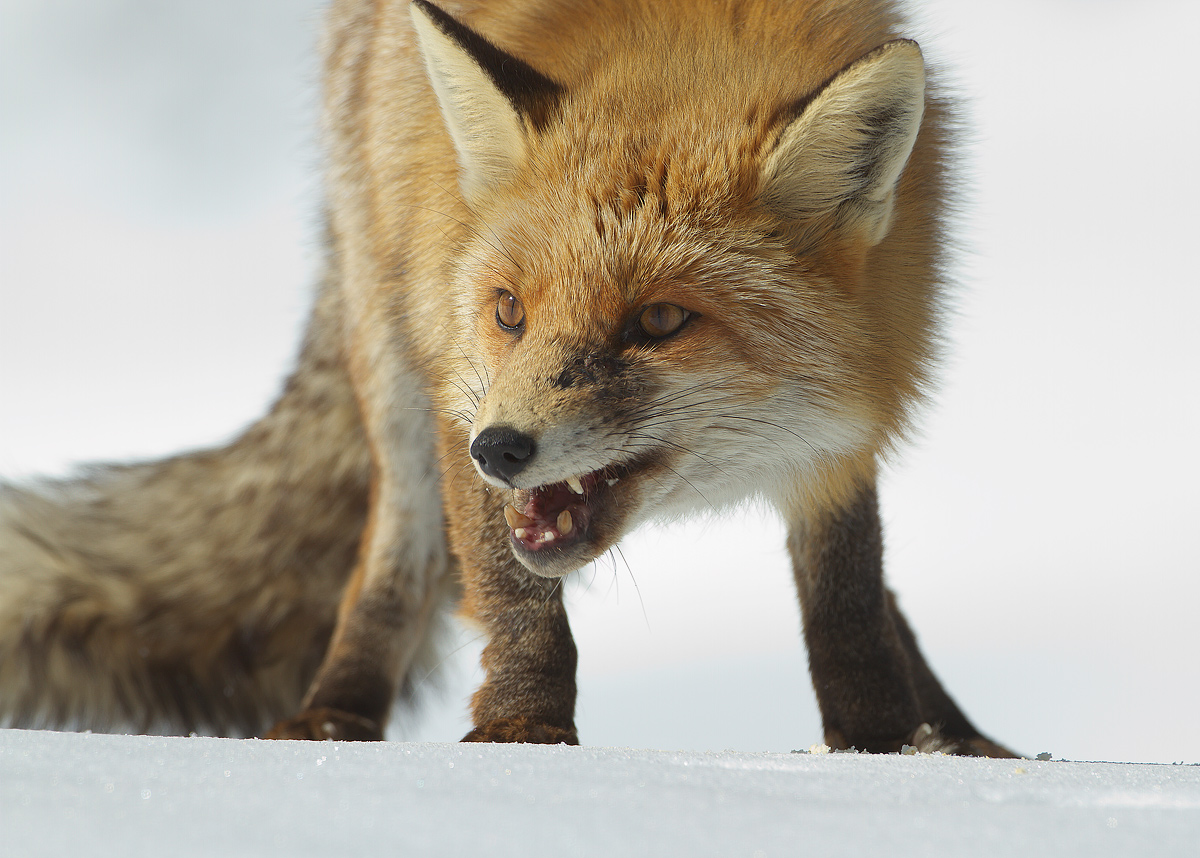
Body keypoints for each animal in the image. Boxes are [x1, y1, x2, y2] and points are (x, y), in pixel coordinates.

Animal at [0, 0, 1017, 756]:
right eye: (508, 312)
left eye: (659, 322)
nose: (501, 449)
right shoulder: (457, 379)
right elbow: (509, 588)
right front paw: (521, 732)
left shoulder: (845, 428)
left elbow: (849, 592)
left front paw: (880, 747)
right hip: (388, 346)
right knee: (395, 554)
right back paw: (333, 717)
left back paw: (958, 733)